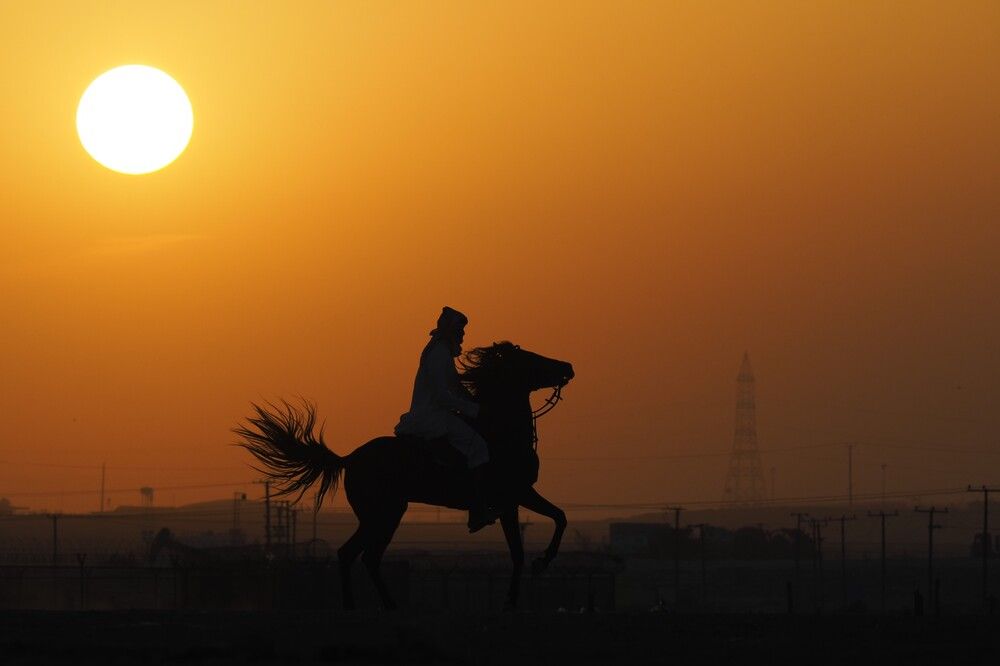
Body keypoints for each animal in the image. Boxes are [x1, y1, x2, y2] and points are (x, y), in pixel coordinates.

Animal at [234, 341, 574, 610]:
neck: (501, 433)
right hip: (385, 513)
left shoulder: (520, 495)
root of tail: (349, 458)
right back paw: (382, 605)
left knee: (354, 555)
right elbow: (521, 549)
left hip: (379, 515)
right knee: (364, 555)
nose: (567, 367)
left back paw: (362, 606)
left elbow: (557, 519)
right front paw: (521, 587)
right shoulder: (511, 498)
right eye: (530, 358)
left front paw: (538, 566)